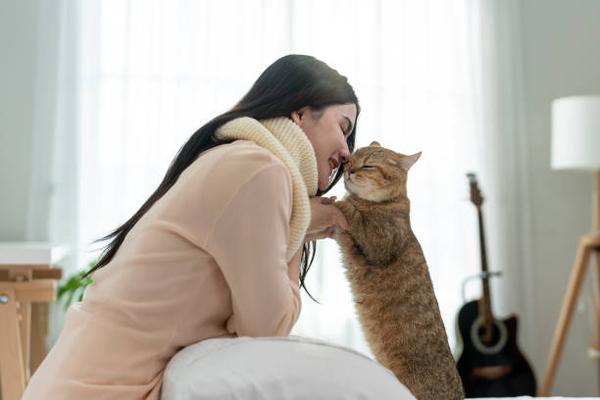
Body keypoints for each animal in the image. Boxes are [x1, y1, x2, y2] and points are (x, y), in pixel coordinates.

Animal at [332, 141, 464, 400]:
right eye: (351, 159)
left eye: (368, 165)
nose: (348, 169)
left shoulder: (376, 243)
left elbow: (353, 213)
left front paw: (340, 202)